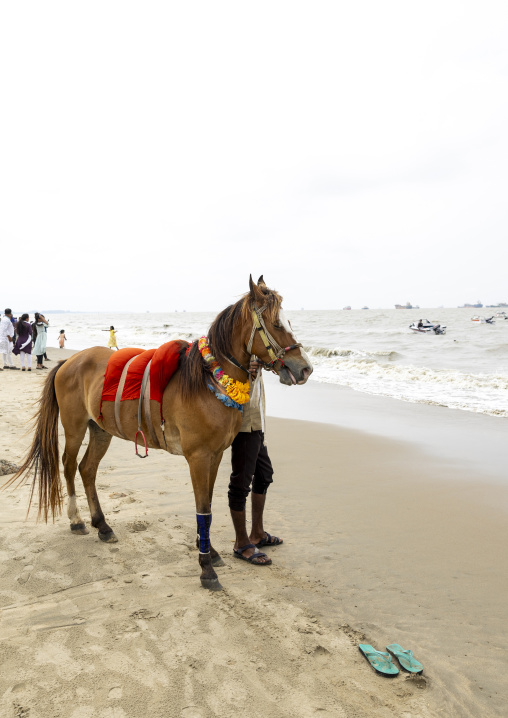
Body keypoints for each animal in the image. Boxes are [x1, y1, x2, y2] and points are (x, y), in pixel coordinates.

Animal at [7, 276, 312, 590]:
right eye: (276, 324)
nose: (305, 368)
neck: (208, 381)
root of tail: (67, 362)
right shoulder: (198, 457)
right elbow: (203, 509)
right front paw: (206, 568)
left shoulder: (215, 456)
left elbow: (208, 505)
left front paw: (210, 552)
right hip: (75, 427)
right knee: (68, 466)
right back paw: (77, 520)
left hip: (101, 431)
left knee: (87, 469)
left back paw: (102, 525)